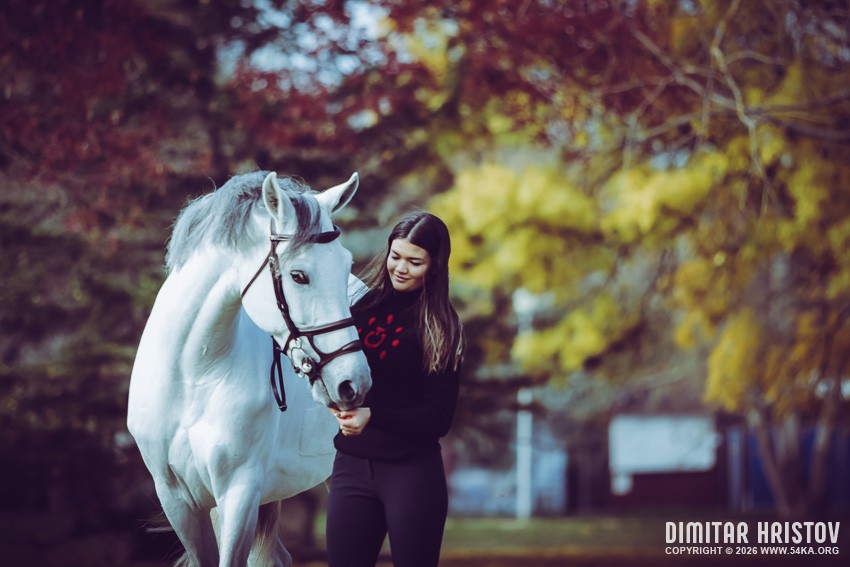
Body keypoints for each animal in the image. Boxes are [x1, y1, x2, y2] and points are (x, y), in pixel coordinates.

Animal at [127, 170, 371, 567]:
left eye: (345, 264)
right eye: (299, 276)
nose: (353, 382)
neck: (193, 376)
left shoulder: (239, 494)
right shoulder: (179, 501)